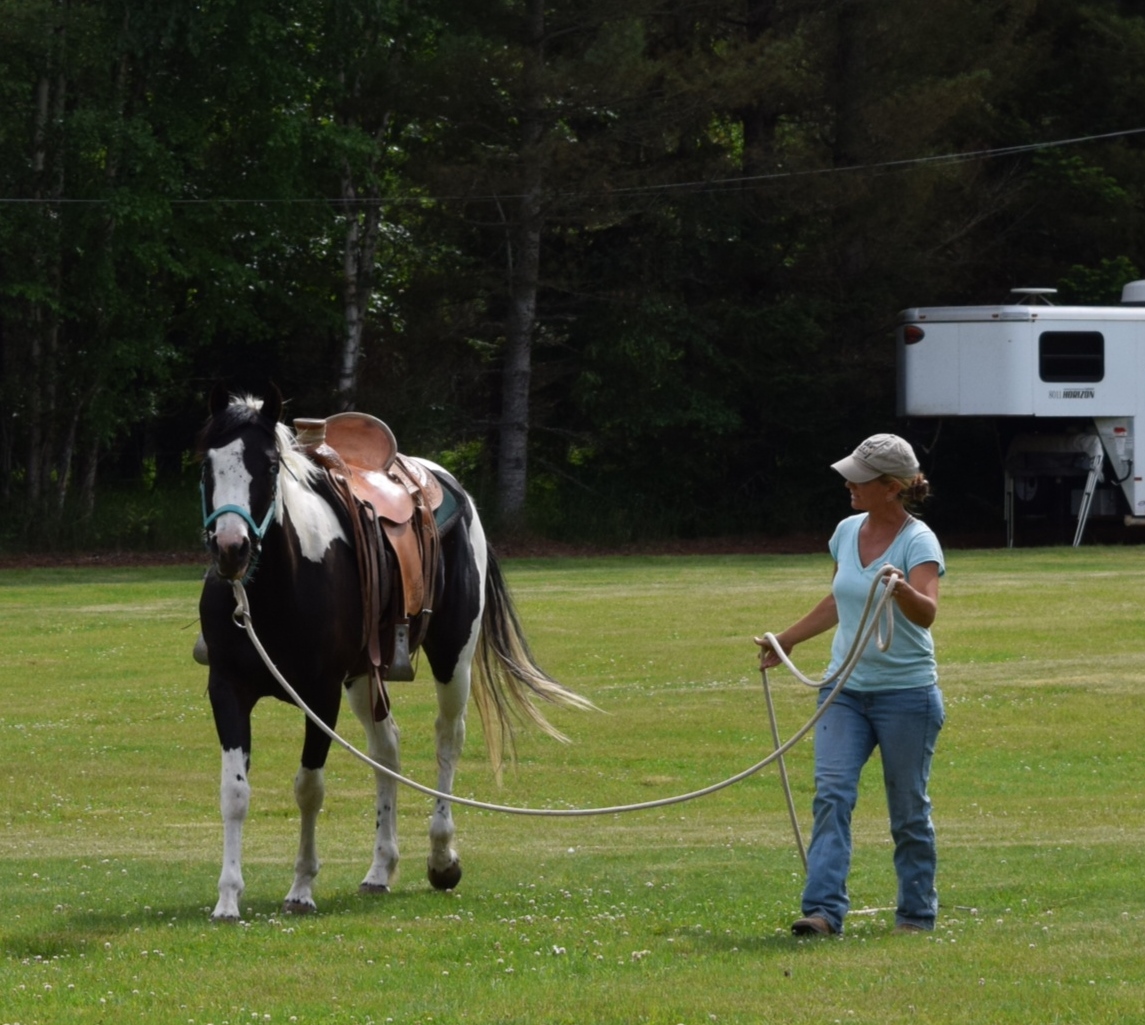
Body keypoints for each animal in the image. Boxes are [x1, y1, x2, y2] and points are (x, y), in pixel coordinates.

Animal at [194, 391, 590, 920]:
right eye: (207, 465)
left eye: (271, 465)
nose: (231, 548)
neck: (275, 587)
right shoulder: (228, 689)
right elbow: (234, 792)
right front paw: (227, 897)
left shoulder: (320, 696)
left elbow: (309, 789)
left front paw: (301, 888)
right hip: (366, 675)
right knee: (387, 750)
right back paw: (380, 870)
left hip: (451, 658)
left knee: (448, 740)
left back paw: (442, 858)